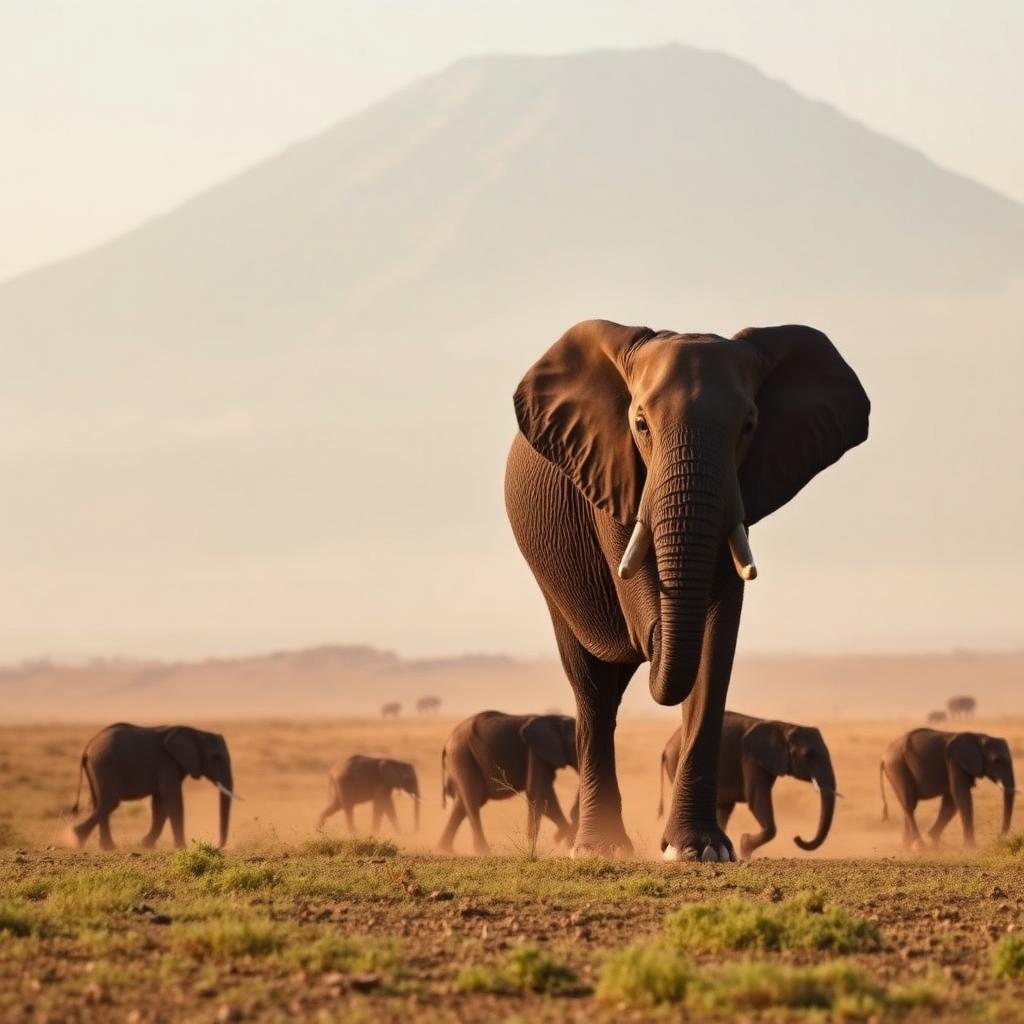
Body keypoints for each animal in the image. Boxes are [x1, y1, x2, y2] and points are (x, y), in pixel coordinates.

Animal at [71, 723, 236, 850]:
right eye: (215, 757)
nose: (217, 846)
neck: (196, 731)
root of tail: (88, 746)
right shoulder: (167, 763)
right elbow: (173, 799)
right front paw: (182, 848)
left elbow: (159, 804)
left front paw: (145, 845)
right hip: (104, 765)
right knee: (109, 802)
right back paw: (75, 838)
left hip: (96, 767)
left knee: (99, 803)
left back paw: (107, 847)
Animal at [439, 711, 578, 854]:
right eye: (576, 744)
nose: (555, 838)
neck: (554, 719)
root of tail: (447, 743)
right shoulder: (535, 753)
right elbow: (540, 795)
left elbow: (541, 798)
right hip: (462, 755)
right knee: (473, 801)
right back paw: (483, 852)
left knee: (461, 805)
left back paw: (445, 849)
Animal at [658, 712, 839, 858]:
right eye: (808, 755)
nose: (797, 837)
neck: (784, 727)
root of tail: (666, 747)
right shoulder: (750, 759)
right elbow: (757, 801)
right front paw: (745, 847)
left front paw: (743, 849)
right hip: (676, 762)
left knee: (724, 808)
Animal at [880, 728, 1015, 847]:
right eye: (997, 760)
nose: (998, 837)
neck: (978, 737)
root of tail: (884, 756)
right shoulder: (955, 761)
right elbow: (961, 796)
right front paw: (971, 847)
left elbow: (951, 802)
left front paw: (933, 840)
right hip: (897, 767)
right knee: (909, 805)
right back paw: (920, 846)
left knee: (907, 806)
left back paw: (906, 846)